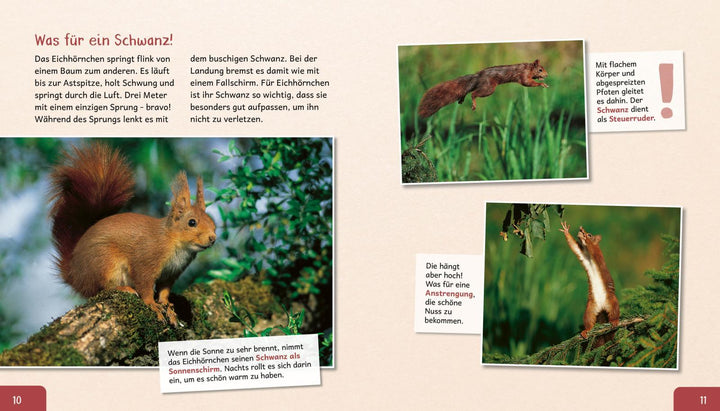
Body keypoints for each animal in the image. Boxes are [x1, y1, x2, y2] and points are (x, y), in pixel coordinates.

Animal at [49, 143, 217, 326]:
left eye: (213, 222)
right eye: (192, 222)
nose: (213, 238)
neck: (175, 243)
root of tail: (74, 274)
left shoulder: (171, 273)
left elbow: (164, 291)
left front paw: (167, 307)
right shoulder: (146, 259)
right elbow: (144, 285)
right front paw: (152, 305)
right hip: (104, 261)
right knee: (100, 288)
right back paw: (123, 288)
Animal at [417, 59, 549, 118]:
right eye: (540, 69)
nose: (546, 75)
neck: (528, 68)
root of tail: (478, 76)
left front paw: (542, 82)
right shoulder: (524, 76)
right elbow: (527, 83)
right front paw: (542, 84)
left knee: (467, 90)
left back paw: (461, 98)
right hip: (488, 88)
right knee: (473, 94)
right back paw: (473, 103)